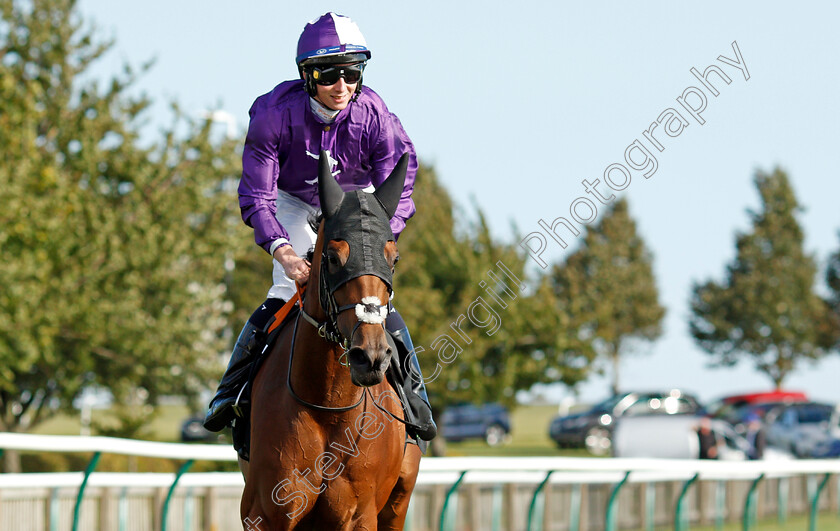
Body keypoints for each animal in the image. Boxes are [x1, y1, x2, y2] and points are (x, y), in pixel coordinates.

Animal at [240, 152, 424, 528]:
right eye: (333, 257)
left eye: (393, 259)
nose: (370, 357)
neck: (327, 405)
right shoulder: (265, 512)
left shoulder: (360, 514)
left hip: (398, 501)